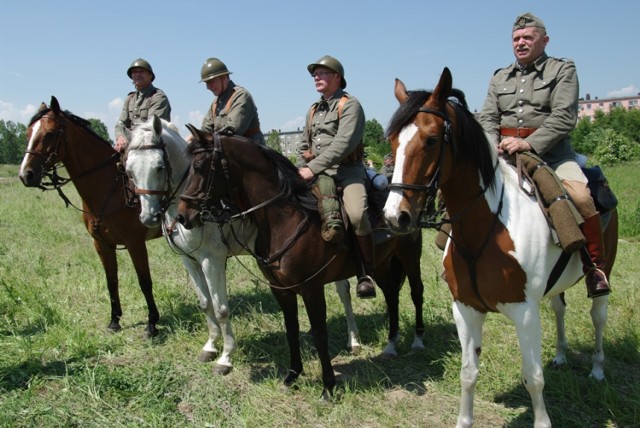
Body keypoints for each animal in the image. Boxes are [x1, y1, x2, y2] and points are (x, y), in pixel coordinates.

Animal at [18, 96, 162, 338]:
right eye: (28, 134)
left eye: (50, 134)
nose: (25, 175)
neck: (112, 186)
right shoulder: (101, 244)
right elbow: (111, 281)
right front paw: (114, 321)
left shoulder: (135, 243)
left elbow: (145, 281)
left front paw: (152, 324)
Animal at [125, 115, 362, 372]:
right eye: (129, 170)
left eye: (159, 166)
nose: (148, 217)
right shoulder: (189, 261)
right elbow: (205, 303)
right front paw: (210, 346)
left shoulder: (211, 260)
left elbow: (221, 308)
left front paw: (226, 357)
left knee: (343, 291)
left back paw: (354, 340)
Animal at [172, 126, 428, 398]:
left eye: (199, 166)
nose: (182, 216)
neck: (285, 218)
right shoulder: (281, 290)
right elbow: (291, 329)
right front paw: (292, 375)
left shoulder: (311, 288)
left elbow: (319, 333)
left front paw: (328, 386)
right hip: (380, 265)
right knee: (391, 295)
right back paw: (390, 345)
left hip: (410, 256)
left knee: (416, 292)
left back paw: (417, 340)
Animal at [382, 67, 616, 428]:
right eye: (393, 141)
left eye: (432, 139)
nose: (396, 216)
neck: (485, 229)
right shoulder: (465, 310)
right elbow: (468, 373)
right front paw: (464, 420)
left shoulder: (525, 313)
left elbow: (534, 378)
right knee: (559, 308)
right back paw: (561, 355)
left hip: (605, 272)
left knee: (598, 316)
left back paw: (597, 369)